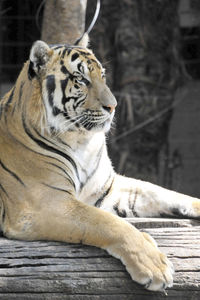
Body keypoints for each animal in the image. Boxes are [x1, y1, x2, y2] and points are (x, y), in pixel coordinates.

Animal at [0, 33, 199, 292]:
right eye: (81, 79)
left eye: (102, 76)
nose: (113, 106)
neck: (81, 141)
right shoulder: (45, 203)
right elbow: (107, 222)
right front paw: (154, 265)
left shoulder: (109, 188)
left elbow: (164, 193)